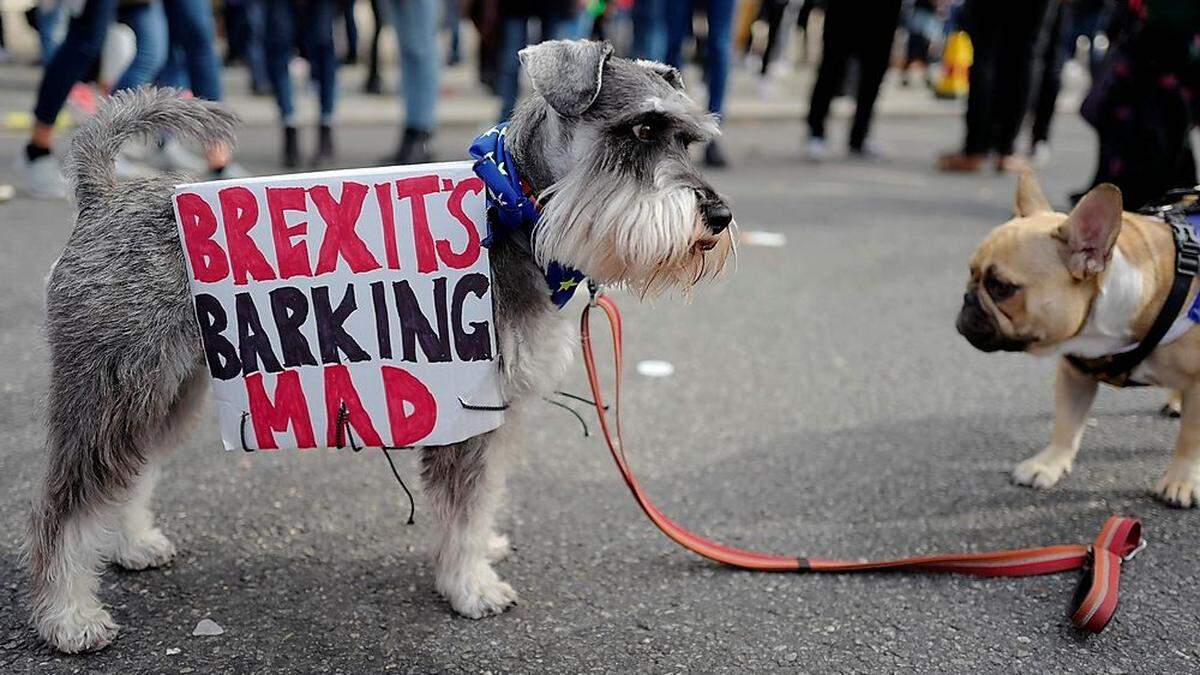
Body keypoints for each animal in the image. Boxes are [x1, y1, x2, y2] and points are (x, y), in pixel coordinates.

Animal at [30, 42, 729, 653]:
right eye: (641, 130)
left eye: (689, 139)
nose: (718, 218)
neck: (515, 209)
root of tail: (102, 195)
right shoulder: (467, 409)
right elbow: (463, 500)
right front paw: (470, 586)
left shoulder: (501, 407)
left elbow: (483, 494)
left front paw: (483, 548)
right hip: (116, 383)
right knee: (68, 500)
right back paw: (69, 616)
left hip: (172, 389)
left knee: (132, 468)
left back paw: (132, 545)